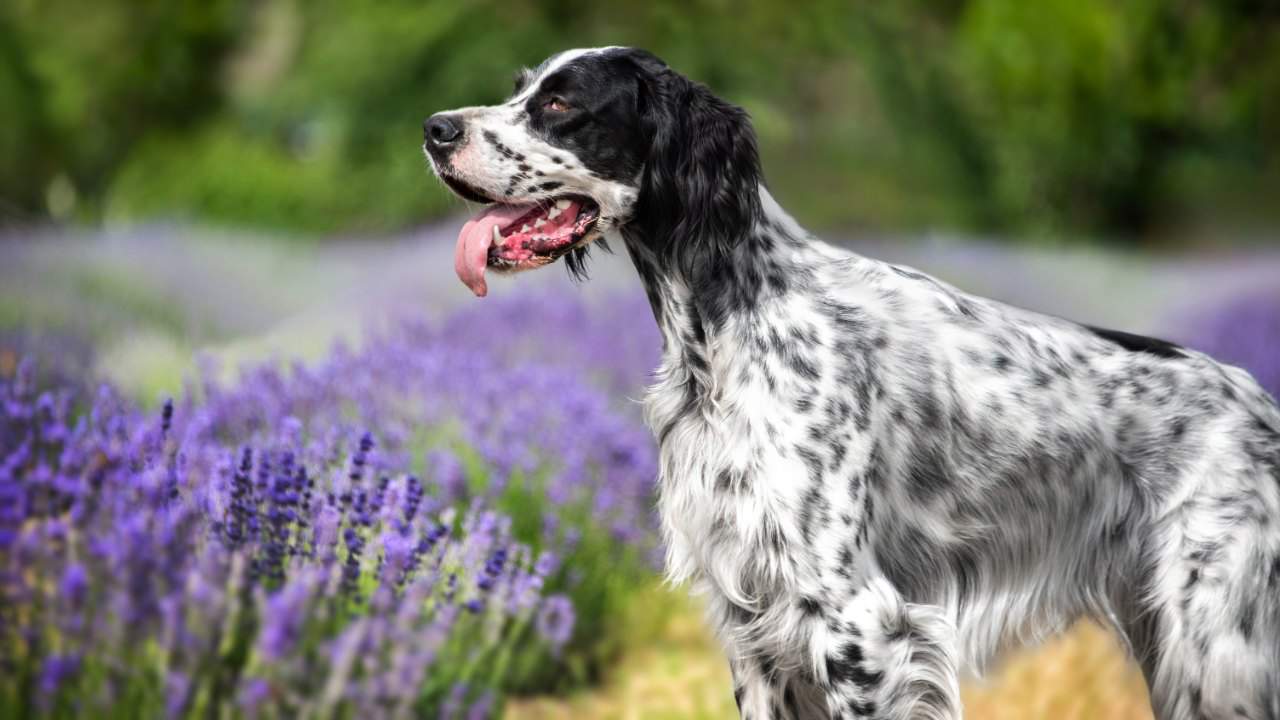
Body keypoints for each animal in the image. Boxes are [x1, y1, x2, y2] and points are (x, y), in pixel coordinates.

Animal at [422, 46, 1280, 717]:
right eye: (521, 87)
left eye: (561, 104)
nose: (435, 130)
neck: (731, 321)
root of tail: (1260, 403)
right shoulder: (752, 624)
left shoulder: (859, 621)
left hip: (1216, 649)